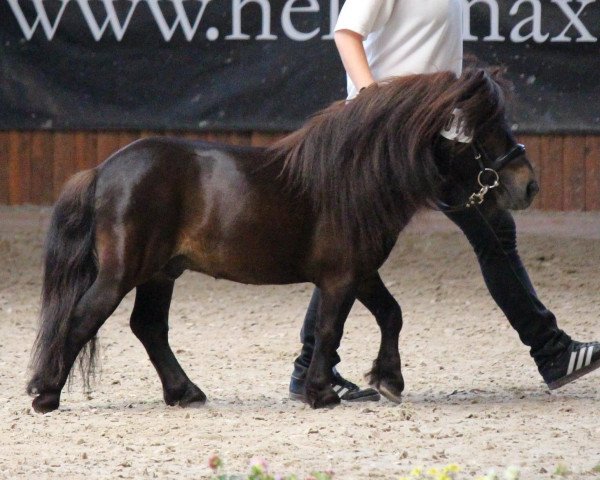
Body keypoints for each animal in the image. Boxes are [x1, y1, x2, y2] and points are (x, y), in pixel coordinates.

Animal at [27, 70, 540, 412]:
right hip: (122, 272)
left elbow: (390, 315)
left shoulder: (362, 272)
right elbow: (330, 329)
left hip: (160, 273)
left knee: (149, 328)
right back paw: (45, 394)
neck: (355, 177)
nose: (529, 185)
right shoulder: (341, 278)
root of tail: (104, 169)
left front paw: (387, 379)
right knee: (83, 318)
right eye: (486, 130)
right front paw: (321, 393)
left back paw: (184, 393)